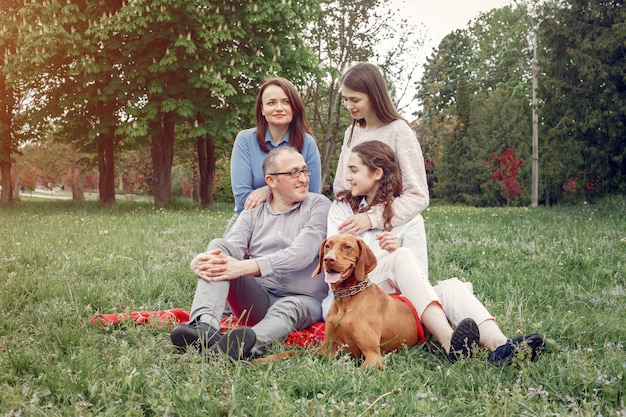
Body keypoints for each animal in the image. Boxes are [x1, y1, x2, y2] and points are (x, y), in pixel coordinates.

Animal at [252, 234, 420, 368]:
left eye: (347, 246)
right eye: (328, 246)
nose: (328, 259)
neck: (346, 298)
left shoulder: (373, 356)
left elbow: (355, 373)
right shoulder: (326, 349)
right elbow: (291, 352)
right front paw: (259, 361)